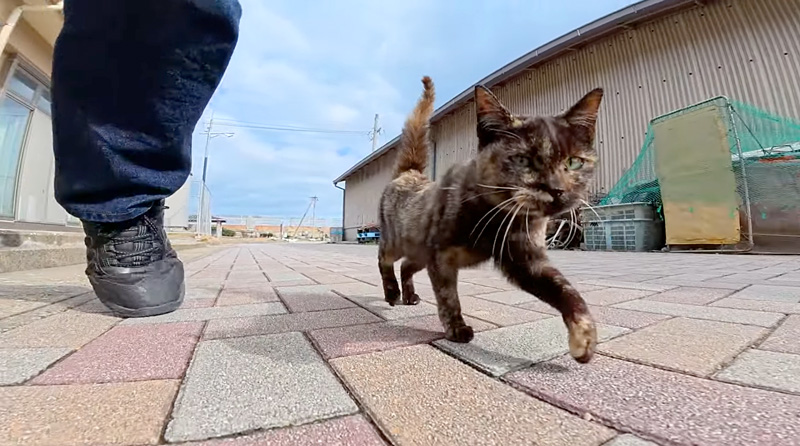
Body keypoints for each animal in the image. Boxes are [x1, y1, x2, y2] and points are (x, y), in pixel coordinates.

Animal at [378, 76, 604, 362]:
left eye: (574, 162)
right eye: (522, 160)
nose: (556, 189)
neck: (497, 217)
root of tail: (410, 172)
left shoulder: (525, 259)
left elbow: (565, 289)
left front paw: (584, 337)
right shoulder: (441, 256)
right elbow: (448, 296)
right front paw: (457, 329)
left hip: (419, 251)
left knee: (407, 266)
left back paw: (409, 295)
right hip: (398, 241)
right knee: (384, 259)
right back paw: (392, 292)